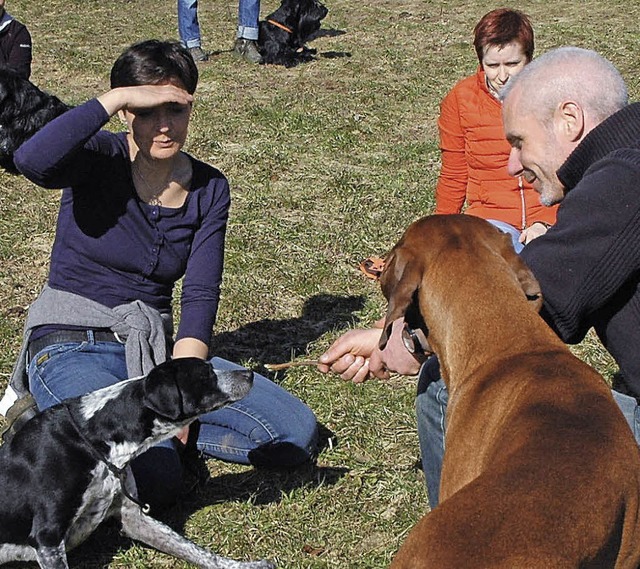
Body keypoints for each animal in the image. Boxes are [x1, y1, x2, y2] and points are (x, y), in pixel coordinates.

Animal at [0, 358, 276, 568]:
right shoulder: (47, 538)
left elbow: (199, 552)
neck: (94, 439)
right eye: (205, 374)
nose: (249, 373)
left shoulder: (134, 517)